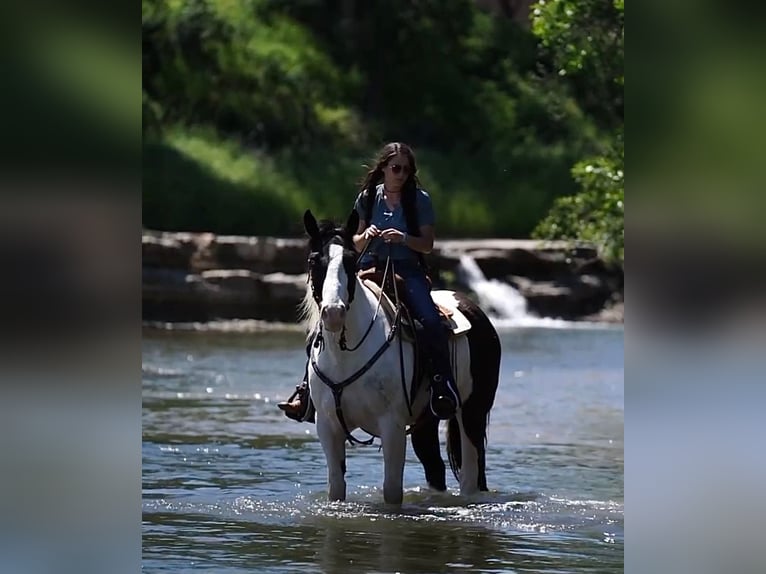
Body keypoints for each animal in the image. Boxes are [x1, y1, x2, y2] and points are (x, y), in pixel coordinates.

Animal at [300, 209, 504, 506]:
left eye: (350, 260)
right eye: (314, 260)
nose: (333, 313)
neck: (345, 355)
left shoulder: (392, 426)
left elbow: (391, 490)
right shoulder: (327, 426)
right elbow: (336, 488)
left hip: (472, 413)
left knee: (471, 475)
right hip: (425, 423)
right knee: (436, 468)